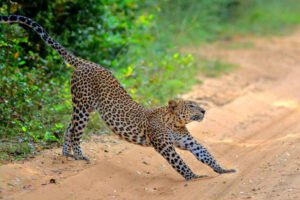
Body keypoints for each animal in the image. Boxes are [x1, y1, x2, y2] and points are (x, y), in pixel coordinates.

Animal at [0, 14, 236, 180]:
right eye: (191, 105)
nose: (204, 110)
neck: (174, 122)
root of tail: (84, 62)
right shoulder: (165, 145)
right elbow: (179, 162)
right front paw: (193, 176)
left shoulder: (188, 142)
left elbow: (205, 154)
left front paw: (223, 169)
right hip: (83, 106)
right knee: (76, 131)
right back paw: (80, 156)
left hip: (84, 106)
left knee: (69, 127)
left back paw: (67, 155)